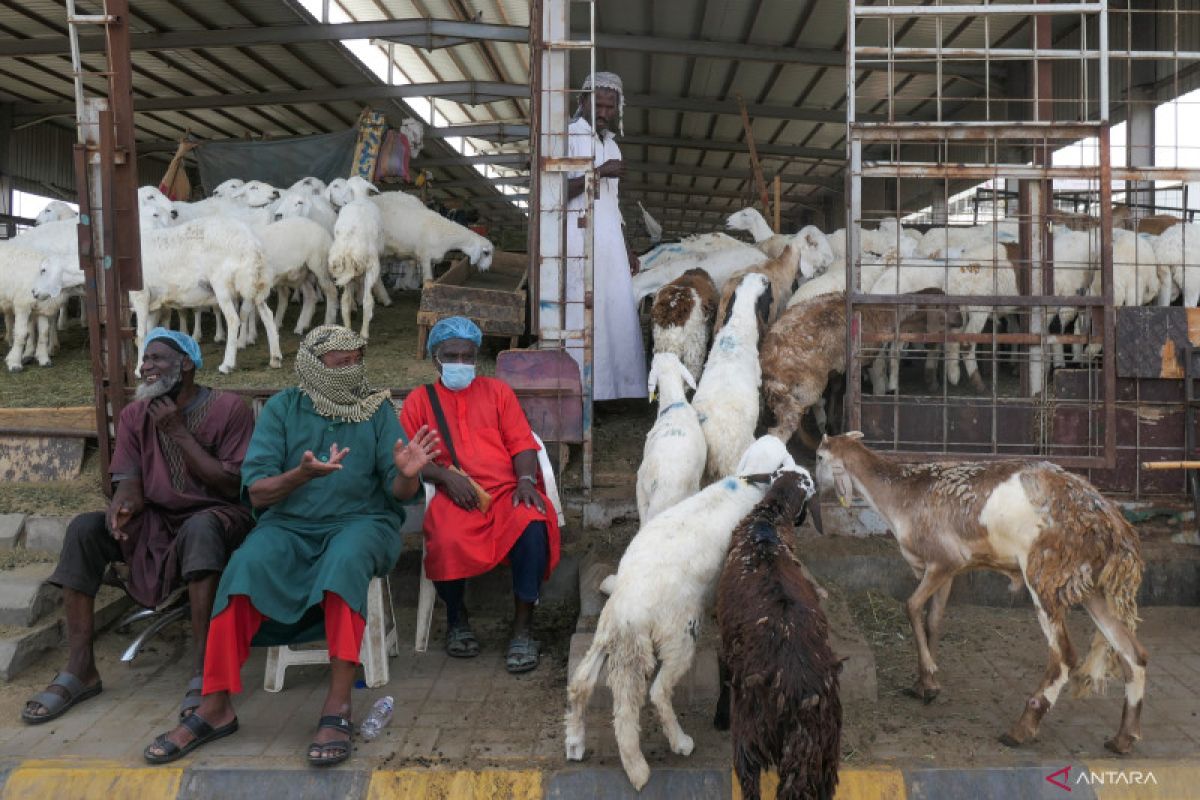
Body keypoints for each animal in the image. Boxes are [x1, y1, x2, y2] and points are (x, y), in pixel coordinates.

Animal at [561, 438, 806, 796]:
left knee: (581, 684)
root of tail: (629, 613)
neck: (746, 483)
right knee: (658, 692)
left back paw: (575, 742)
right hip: (678, 635)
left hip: (606, 636)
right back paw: (676, 744)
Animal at [710, 470, 844, 800]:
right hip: (824, 753)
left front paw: (720, 717)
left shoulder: (725, 638)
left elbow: (722, 670)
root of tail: (797, 692)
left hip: (750, 738)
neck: (767, 523)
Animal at [820, 431, 1147, 753]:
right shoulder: (947, 571)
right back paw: (1123, 738)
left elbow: (911, 606)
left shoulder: (943, 559)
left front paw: (928, 678)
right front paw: (926, 683)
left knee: (1065, 656)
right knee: (1133, 652)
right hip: (1091, 585)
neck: (901, 494)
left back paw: (1020, 731)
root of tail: (1114, 526)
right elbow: (933, 620)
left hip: (1045, 575)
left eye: (819, 457)